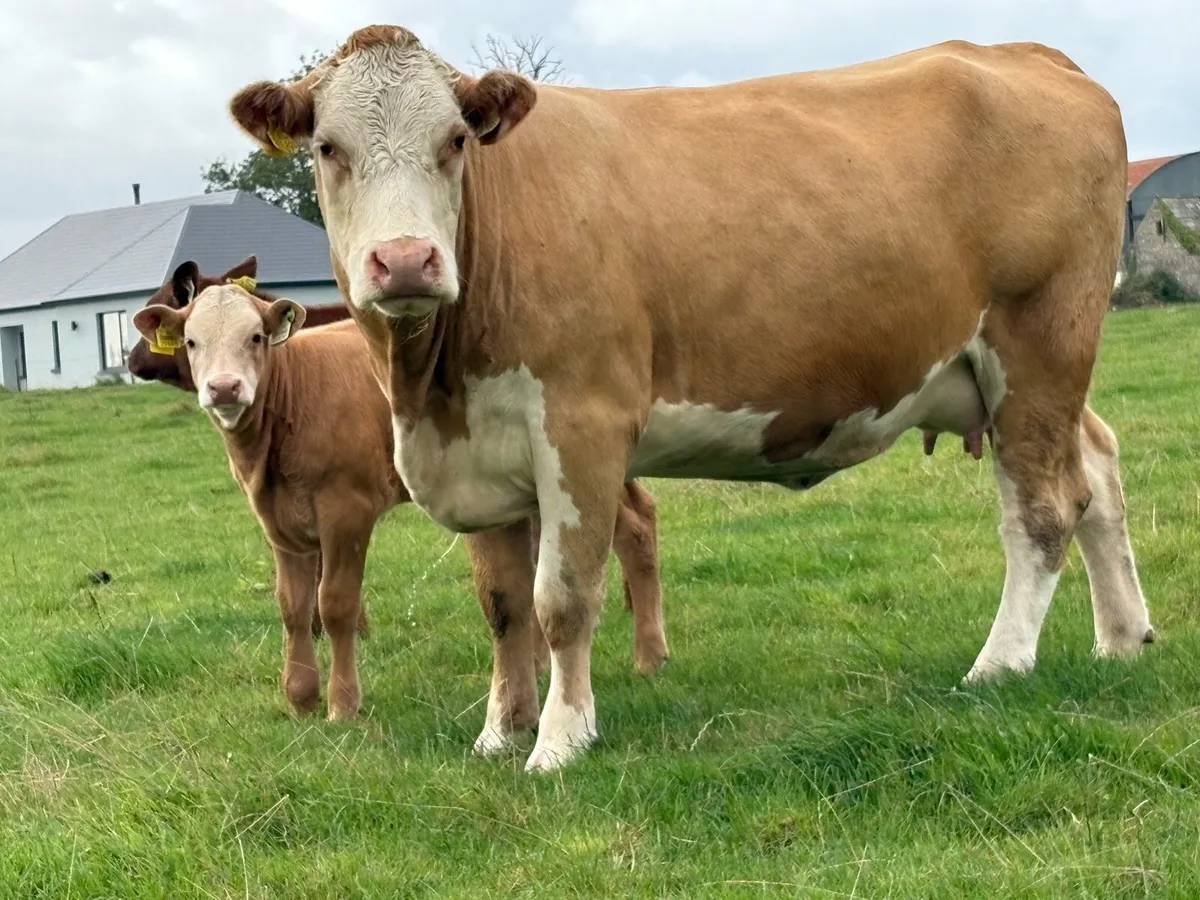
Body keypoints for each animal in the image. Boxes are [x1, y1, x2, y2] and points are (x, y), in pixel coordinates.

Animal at [129, 272, 669, 736]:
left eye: (256, 337)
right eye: (192, 342)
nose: (223, 388)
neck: (290, 403)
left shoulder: (346, 510)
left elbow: (335, 603)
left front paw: (342, 703)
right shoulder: (278, 520)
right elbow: (292, 606)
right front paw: (300, 696)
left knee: (635, 530)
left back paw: (649, 656)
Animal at [228, 26, 1154, 772]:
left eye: (454, 139)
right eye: (327, 148)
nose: (406, 261)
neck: (432, 384)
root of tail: (1030, 54)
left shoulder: (583, 426)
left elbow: (561, 599)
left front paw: (559, 740)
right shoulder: (476, 451)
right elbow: (501, 605)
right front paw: (499, 731)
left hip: (1038, 343)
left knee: (1041, 509)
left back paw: (1000, 664)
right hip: (1025, 377)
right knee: (1096, 472)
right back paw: (1122, 638)